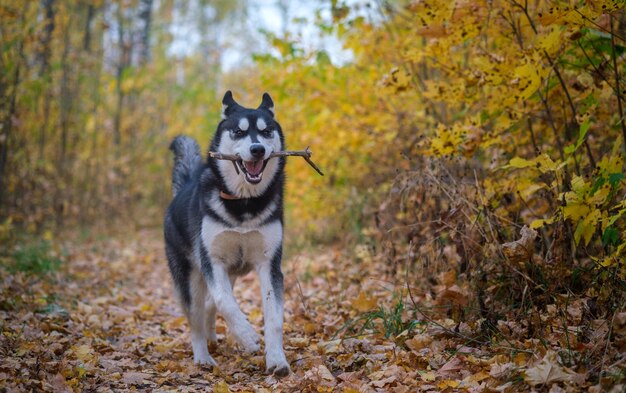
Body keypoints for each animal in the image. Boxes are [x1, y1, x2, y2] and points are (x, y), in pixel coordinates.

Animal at [161, 90, 288, 376]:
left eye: (266, 131)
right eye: (239, 132)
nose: (257, 149)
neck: (244, 203)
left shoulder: (269, 264)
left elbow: (274, 317)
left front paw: (277, 359)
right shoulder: (212, 261)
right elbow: (224, 302)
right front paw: (248, 336)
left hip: (231, 273)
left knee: (208, 306)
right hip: (190, 278)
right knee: (197, 314)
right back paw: (202, 356)